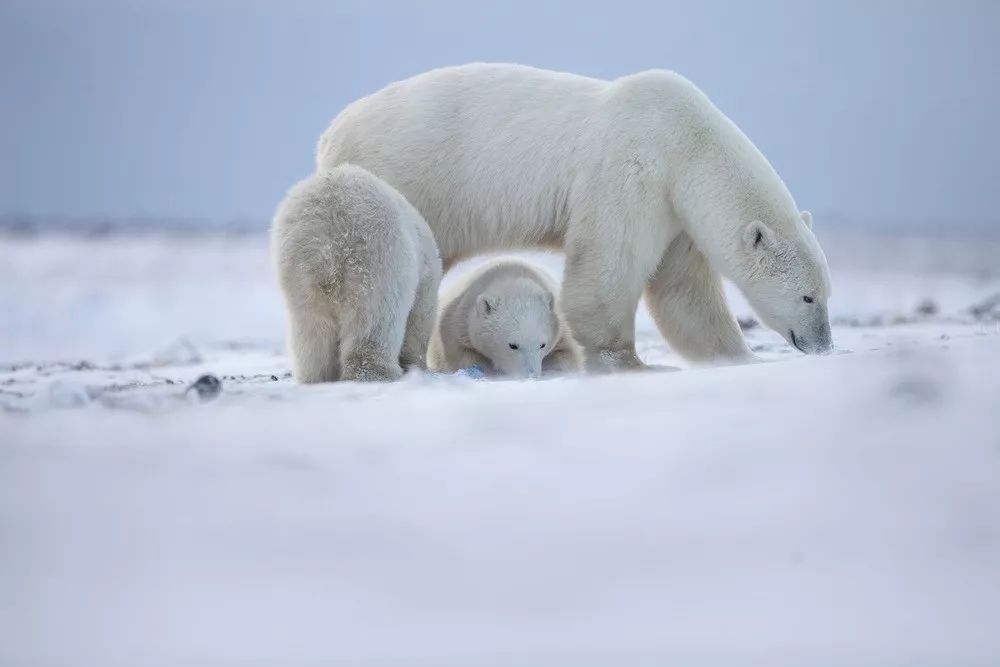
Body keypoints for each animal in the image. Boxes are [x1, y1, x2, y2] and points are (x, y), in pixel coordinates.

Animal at [316, 64, 832, 370]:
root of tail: (330, 132)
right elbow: (609, 263)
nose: (823, 345)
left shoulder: (677, 210)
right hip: (402, 178)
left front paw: (735, 357)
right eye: (808, 297)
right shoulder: (633, 170)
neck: (689, 144)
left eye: (825, 294)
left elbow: (684, 293)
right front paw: (625, 360)